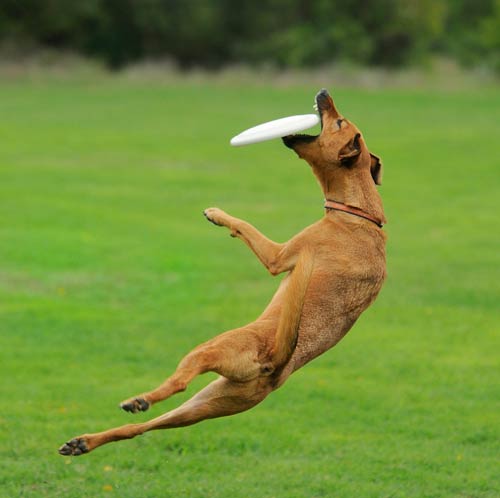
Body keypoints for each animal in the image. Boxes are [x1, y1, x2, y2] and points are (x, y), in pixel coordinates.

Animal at [58, 88, 386, 456]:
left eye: (339, 122)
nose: (323, 92)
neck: (358, 212)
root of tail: (274, 361)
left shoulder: (279, 256)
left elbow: (246, 226)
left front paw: (217, 214)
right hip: (205, 405)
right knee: (139, 428)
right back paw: (84, 441)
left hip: (210, 351)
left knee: (177, 383)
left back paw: (139, 400)